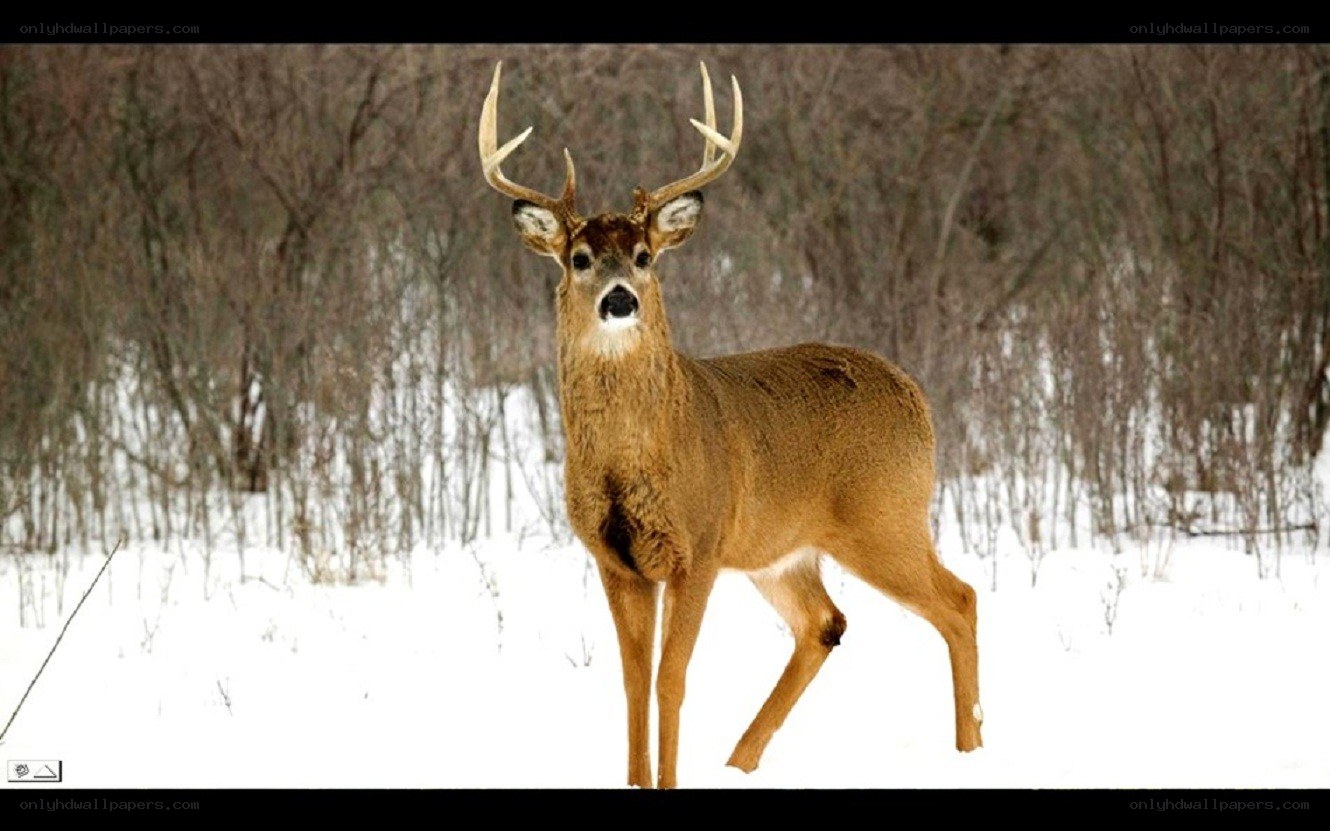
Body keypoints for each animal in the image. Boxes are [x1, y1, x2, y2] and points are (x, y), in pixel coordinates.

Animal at [478, 60, 983, 788]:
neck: (634, 458)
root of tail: (915, 394)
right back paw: (741, 761)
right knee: (825, 622)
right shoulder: (615, 558)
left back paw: (972, 750)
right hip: (782, 548)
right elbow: (632, 682)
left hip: (884, 515)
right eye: (579, 257)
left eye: (643, 255)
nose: (620, 299)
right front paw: (639, 778)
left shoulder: (700, 544)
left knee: (959, 600)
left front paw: (666, 780)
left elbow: (671, 679)